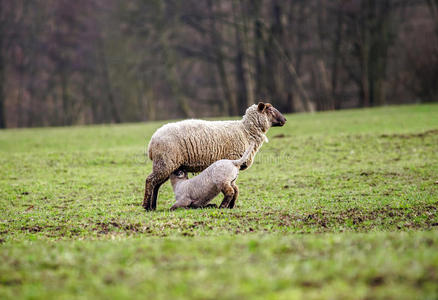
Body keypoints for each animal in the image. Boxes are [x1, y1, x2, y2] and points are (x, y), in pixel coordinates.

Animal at [144, 101, 288, 211]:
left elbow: (235, 187)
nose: (285, 120)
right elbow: (233, 187)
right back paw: (146, 206)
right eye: (270, 109)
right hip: (165, 161)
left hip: (167, 163)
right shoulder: (232, 159)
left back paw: (153, 206)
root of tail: (152, 141)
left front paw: (231, 206)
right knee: (150, 181)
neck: (246, 131)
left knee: (156, 184)